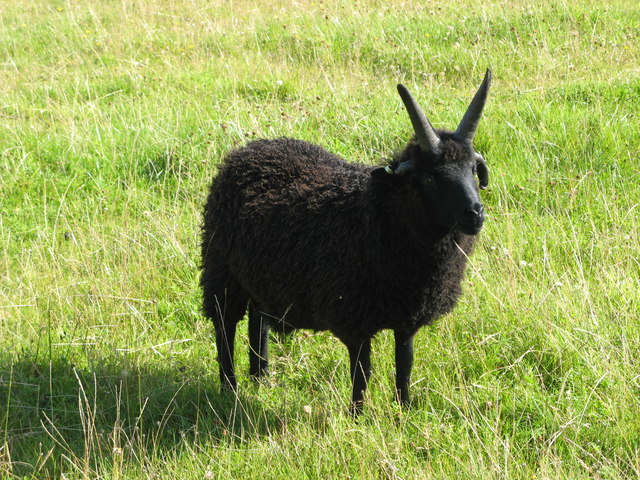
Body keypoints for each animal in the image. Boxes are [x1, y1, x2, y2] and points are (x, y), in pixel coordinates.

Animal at [202, 69, 492, 414]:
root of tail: (250, 149)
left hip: (261, 276)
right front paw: (358, 416)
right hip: (220, 269)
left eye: (473, 170)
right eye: (429, 178)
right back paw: (228, 387)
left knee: (258, 320)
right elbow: (362, 372)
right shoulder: (353, 318)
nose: (475, 213)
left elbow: (404, 365)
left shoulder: (407, 318)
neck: (377, 216)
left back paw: (261, 378)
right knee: (225, 326)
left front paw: (403, 411)